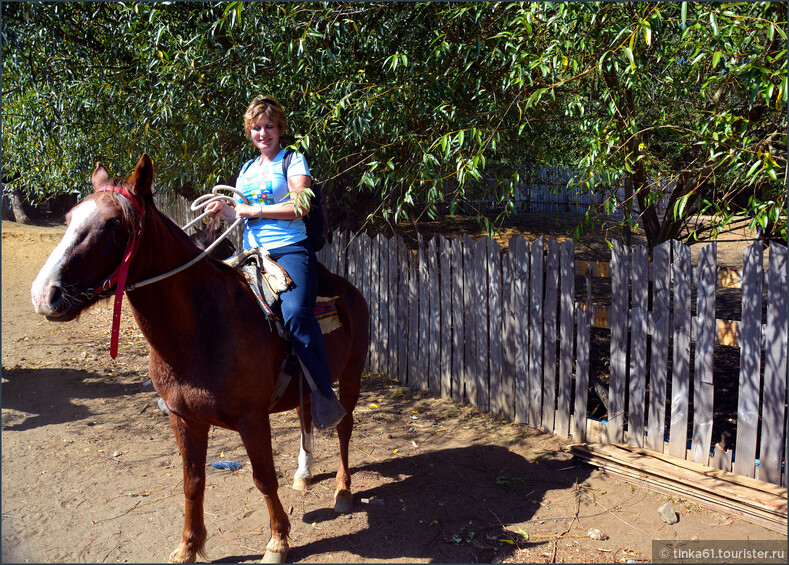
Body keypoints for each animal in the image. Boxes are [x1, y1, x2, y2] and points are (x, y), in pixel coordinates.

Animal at [30, 154, 370, 564]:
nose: (44, 294)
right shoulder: (184, 418)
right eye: (69, 219)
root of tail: (349, 289)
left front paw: (278, 541)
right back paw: (304, 475)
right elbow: (193, 482)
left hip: (351, 376)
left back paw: (343, 491)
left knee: (344, 427)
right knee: (307, 416)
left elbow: (263, 478)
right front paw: (188, 546)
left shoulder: (252, 419)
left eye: (113, 223)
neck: (203, 328)